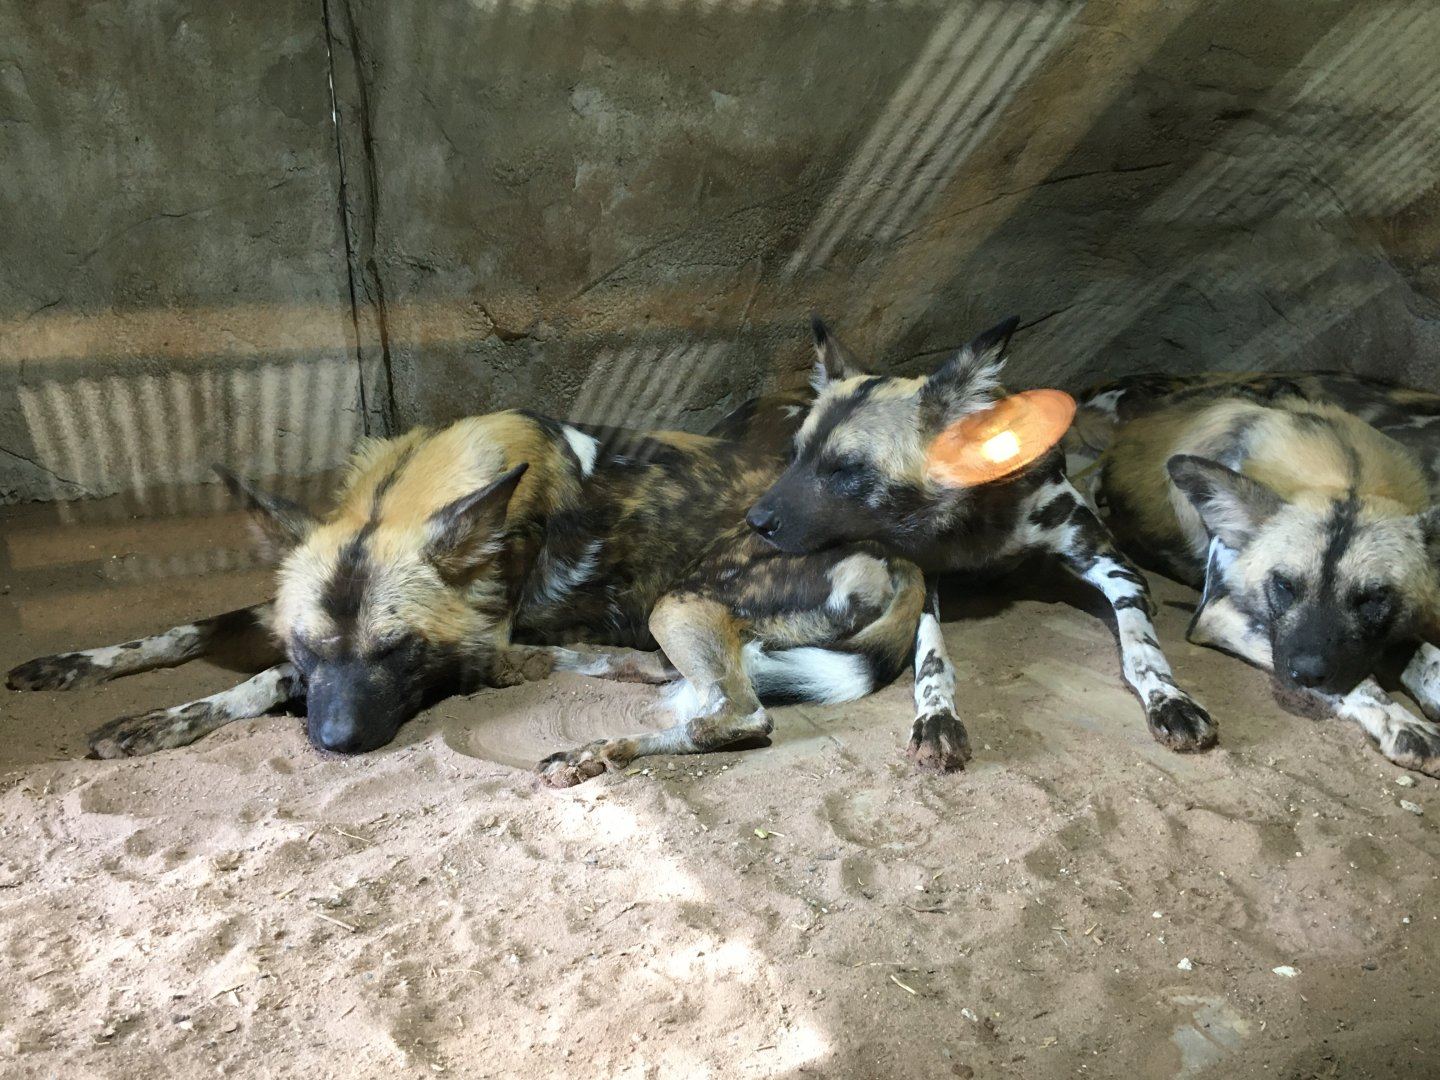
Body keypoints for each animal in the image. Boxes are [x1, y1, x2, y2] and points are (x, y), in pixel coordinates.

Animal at [7, 399, 926, 785]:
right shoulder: (281, 615)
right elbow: (184, 633)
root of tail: (903, 554)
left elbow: (261, 680)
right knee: (696, 692)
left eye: (398, 651)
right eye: (313, 643)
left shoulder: (471, 653)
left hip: (682, 605)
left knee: (740, 715)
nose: (337, 744)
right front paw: (86, 676)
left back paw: (600, 748)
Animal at [746, 317, 1215, 767]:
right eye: (795, 456)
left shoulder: (1112, 565)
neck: (975, 520)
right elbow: (932, 658)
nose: (754, 520)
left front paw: (1171, 699)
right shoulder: (922, 581)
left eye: (845, 469)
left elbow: (1141, 646)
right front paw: (937, 717)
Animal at [1069, 370, 1440, 776]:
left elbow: (1424, 655)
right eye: (1284, 585)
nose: (1306, 671)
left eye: (1373, 598)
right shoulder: (1221, 615)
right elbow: (1358, 683)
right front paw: (1403, 722)